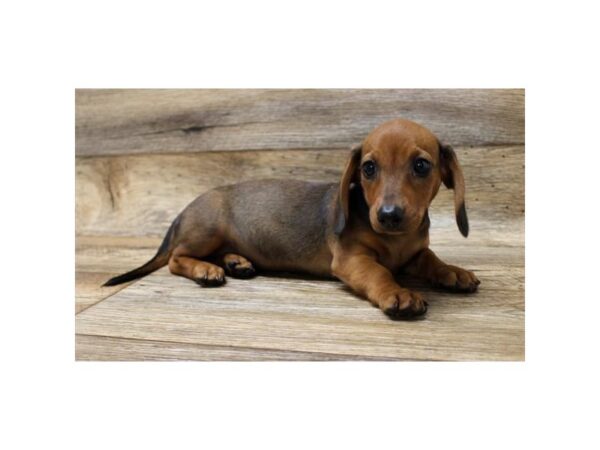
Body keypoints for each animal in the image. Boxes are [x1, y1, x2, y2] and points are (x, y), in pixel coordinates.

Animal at [105, 118, 480, 318]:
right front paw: (398, 292)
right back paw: (205, 270)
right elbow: (379, 272)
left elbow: (431, 258)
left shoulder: (416, 252)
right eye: (369, 168)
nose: (388, 216)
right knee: (176, 259)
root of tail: (184, 210)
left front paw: (453, 272)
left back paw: (236, 262)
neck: (395, 240)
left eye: (421, 165)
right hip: (207, 230)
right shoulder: (351, 259)